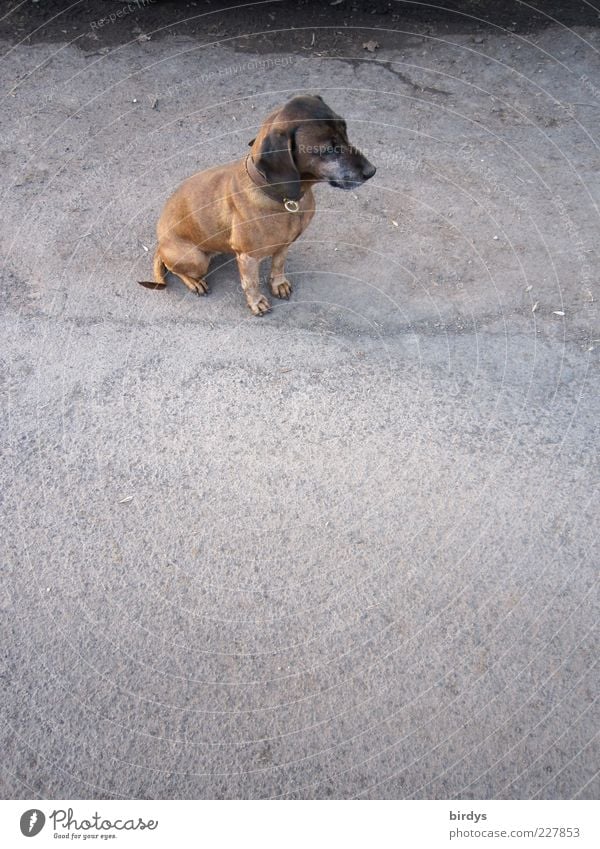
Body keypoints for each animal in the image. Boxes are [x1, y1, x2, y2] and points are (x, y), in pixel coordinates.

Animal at [139, 95, 378, 314]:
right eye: (328, 149)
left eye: (345, 131)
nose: (372, 171)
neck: (285, 199)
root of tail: (160, 244)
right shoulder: (248, 258)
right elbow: (251, 283)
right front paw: (256, 302)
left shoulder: (284, 244)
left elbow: (278, 265)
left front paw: (278, 284)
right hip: (196, 259)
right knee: (175, 269)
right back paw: (194, 282)